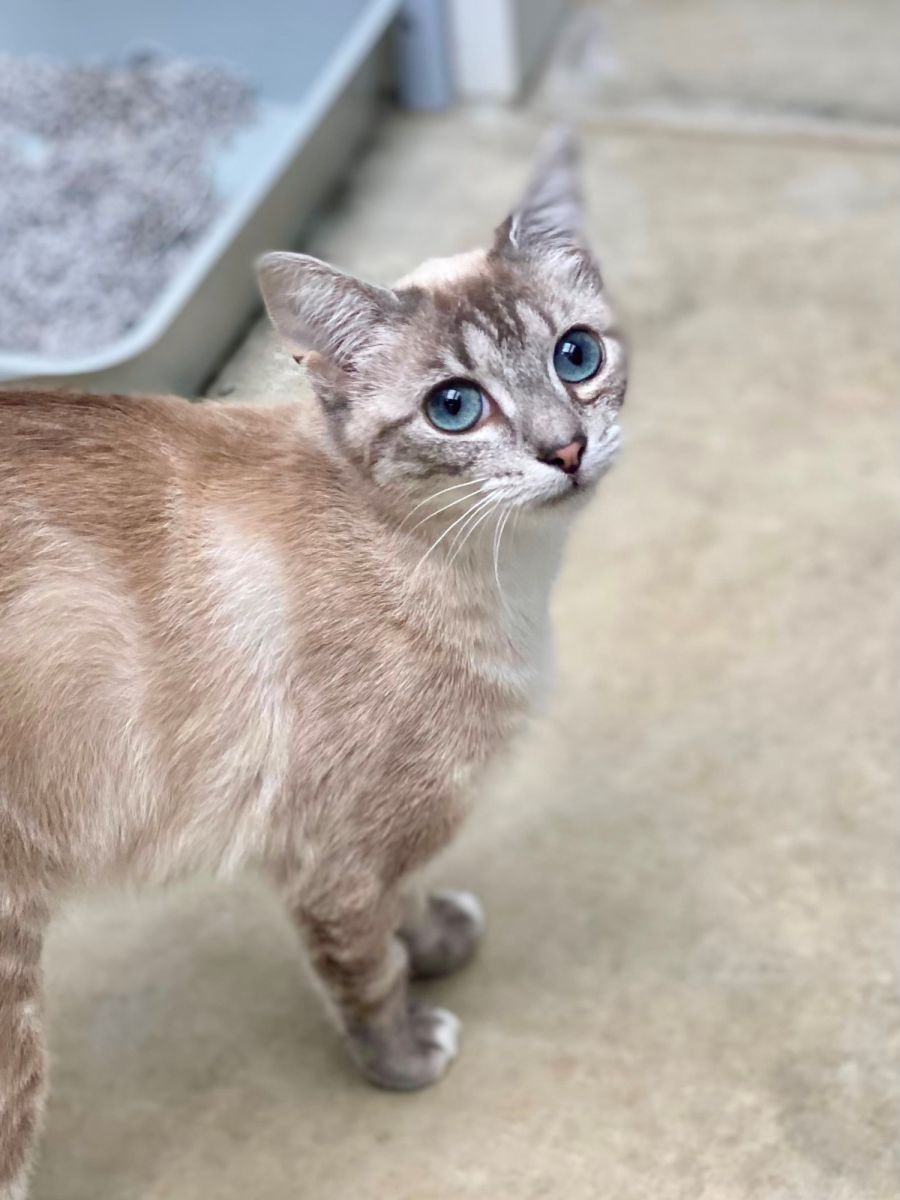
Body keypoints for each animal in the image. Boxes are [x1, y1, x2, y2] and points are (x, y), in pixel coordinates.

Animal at [0, 130, 626, 1198]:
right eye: (454, 407)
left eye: (575, 355)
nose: (567, 448)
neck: (497, 580)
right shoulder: (330, 855)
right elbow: (368, 971)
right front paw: (406, 1054)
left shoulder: (384, 832)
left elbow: (409, 892)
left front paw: (439, 937)